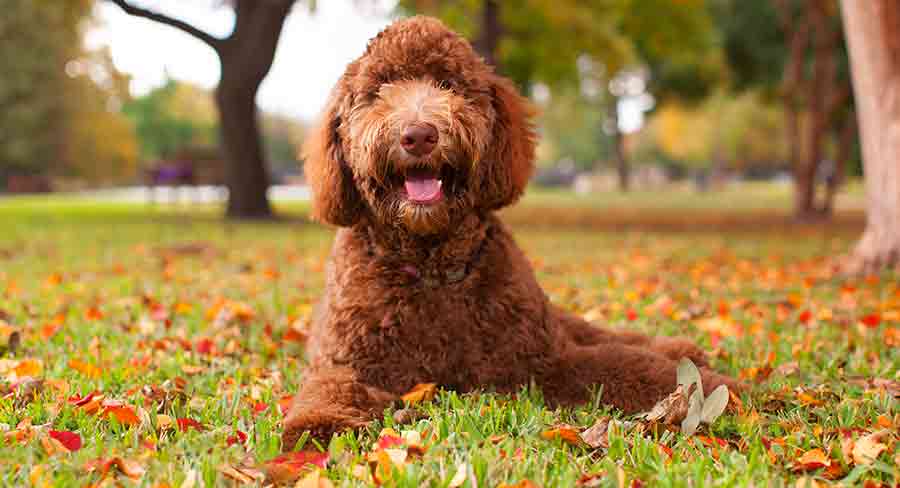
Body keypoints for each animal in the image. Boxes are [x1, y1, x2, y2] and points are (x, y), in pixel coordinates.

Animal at [284, 16, 740, 450]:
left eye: (448, 84)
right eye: (379, 90)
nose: (419, 134)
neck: (431, 270)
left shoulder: (541, 359)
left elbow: (629, 365)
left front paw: (721, 389)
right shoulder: (348, 361)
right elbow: (328, 388)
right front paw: (317, 425)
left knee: (606, 336)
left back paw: (681, 350)